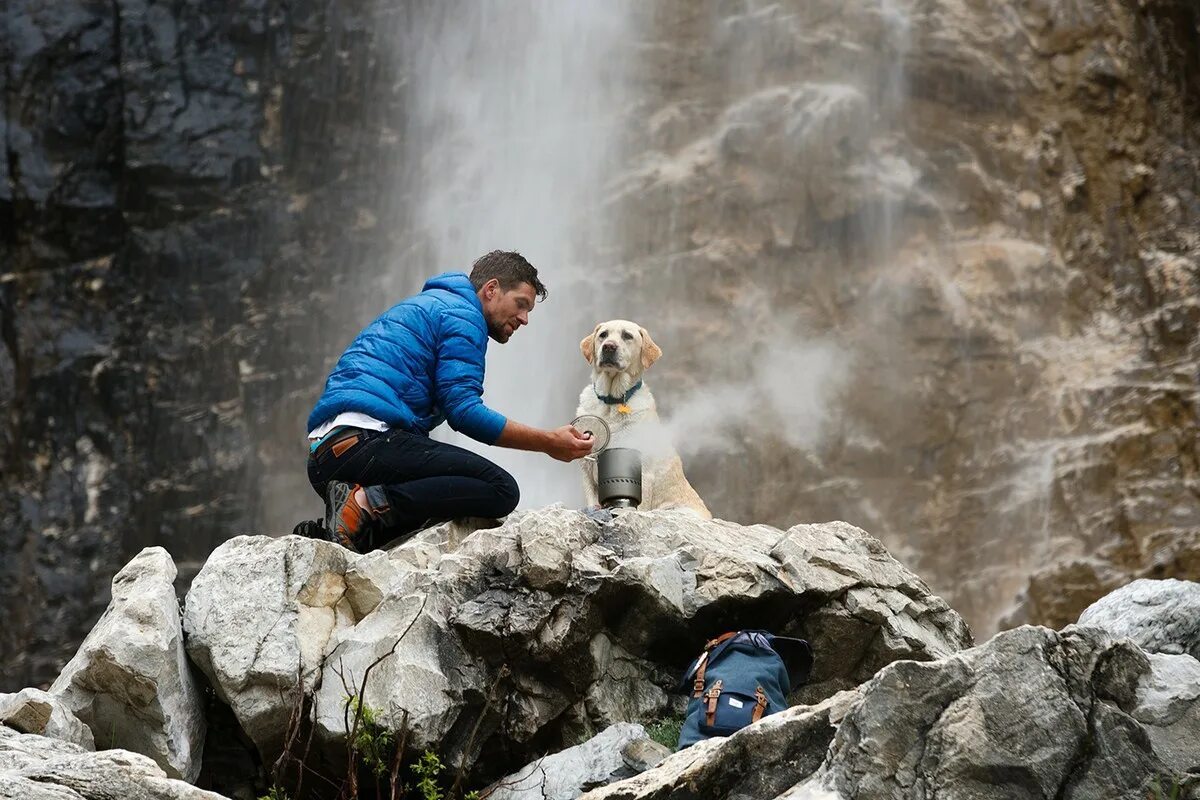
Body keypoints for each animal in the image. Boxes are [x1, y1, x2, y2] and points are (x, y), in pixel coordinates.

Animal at [573, 319, 705, 520]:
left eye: (627, 335)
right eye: (603, 335)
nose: (609, 347)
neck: (611, 403)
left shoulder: (644, 471)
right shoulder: (587, 467)